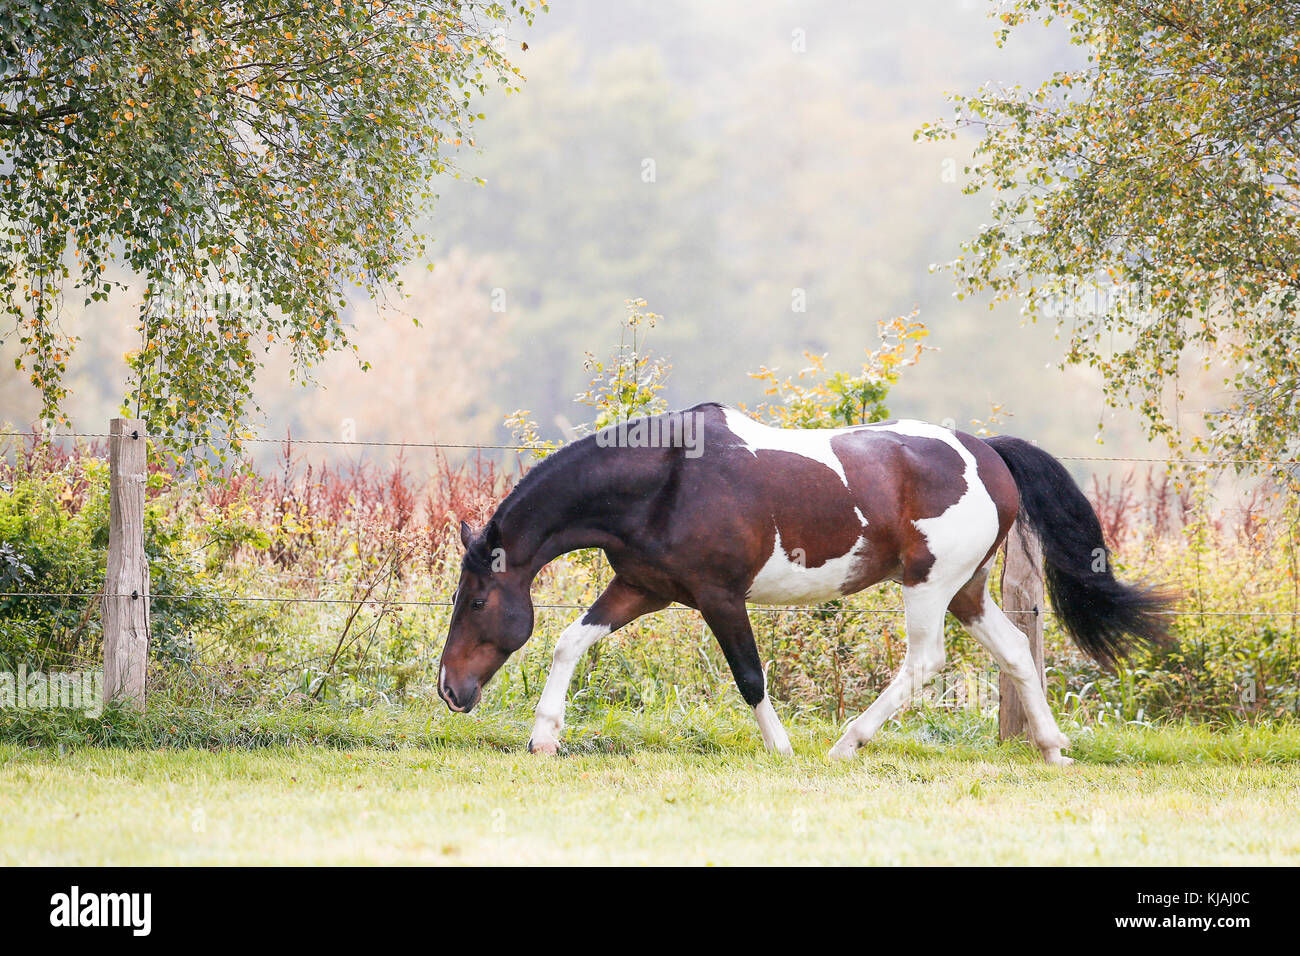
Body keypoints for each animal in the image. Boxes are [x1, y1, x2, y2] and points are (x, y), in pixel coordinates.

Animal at [439, 403, 1180, 764]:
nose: (450, 690)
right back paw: (1053, 749)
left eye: (476, 600)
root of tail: (988, 453)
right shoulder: (644, 588)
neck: (666, 477)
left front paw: (782, 748)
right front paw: (544, 738)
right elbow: (569, 640)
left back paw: (848, 742)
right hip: (967, 590)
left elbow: (749, 677)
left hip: (928, 585)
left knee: (925, 662)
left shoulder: (719, 598)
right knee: (1018, 653)